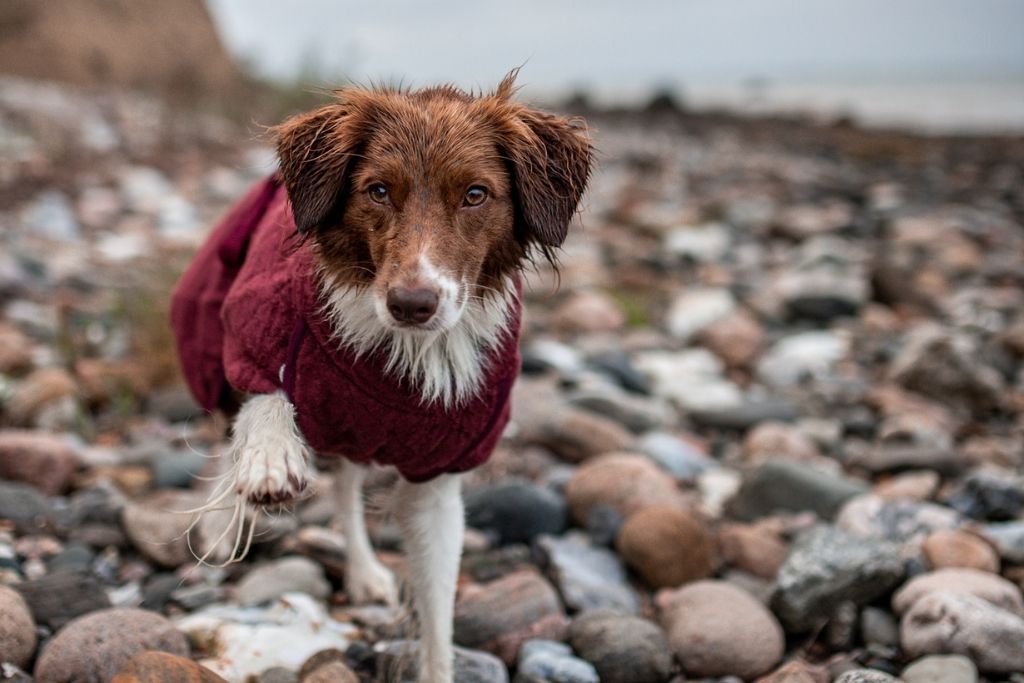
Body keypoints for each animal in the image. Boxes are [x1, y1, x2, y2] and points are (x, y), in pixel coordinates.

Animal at [169, 70, 593, 683]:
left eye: (475, 194)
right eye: (378, 190)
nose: (411, 303)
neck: (403, 351)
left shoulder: (441, 475)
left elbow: (438, 613)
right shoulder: (250, 325)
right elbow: (267, 393)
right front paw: (270, 458)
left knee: (346, 487)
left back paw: (364, 570)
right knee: (231, 435)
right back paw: (223, 524)